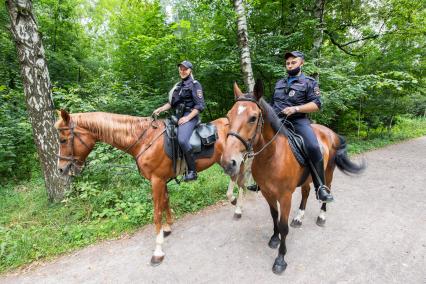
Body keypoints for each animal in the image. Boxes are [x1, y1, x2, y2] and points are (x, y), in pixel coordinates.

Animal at [54, 110, 246, 266]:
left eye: (63, 140)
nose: (61, 169)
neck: (144, 141)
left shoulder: (156, 180)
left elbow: (156, 213)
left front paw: (158, 251)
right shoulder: (161, 180)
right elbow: (165, 202)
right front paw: (167, 228)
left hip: (236, 162)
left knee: (240, 182)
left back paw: (237, 206)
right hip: (227, 162)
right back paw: (235, 202)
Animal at [220, 80, 366, 276]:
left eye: (252, 118)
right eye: (229, 116)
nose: (228, 162)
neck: (272, 155)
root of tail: (330, 132)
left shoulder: (285, 196)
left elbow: (283, 226)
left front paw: (280, 259)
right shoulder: (267, 193)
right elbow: (274, 216)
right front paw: (274, 238)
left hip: (328, 173)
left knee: (325, 191)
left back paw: (321, 216)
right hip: (307, 179)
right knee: (305, 193)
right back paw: (299, 217)